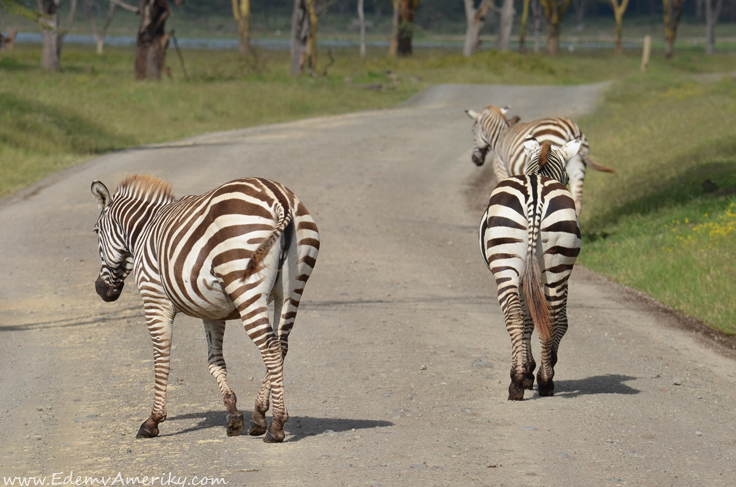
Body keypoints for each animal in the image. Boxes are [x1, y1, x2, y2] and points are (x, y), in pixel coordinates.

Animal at [90, 175, 320, 442]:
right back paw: (259, 416)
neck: (143, 231)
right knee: (281, 345)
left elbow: (161, 359)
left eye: (96, 232)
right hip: (291, 289)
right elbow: (215, 361)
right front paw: (233, 415)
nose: (101, 290)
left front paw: (153, 421)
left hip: (246, 286)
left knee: (271, 347)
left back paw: (276, 427)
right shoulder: (212, 311)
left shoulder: (154, 299)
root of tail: (278, 196)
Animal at [462, 105, 612, 217]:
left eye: (472, 130)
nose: (475, 160)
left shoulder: (501, 171)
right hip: (577, 168)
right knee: (576, 202)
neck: (499, 136)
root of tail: (571, 128)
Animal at [480, 136, 584, 400]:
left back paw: (516, 382)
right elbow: (549, 319)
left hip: (506, 264)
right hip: (557, 263)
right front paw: (538, 369)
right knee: (553, 315)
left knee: (515, 314)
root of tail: (535, 194)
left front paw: (526, 371)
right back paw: (546, 381)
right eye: (567, 177)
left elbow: (527, 318)